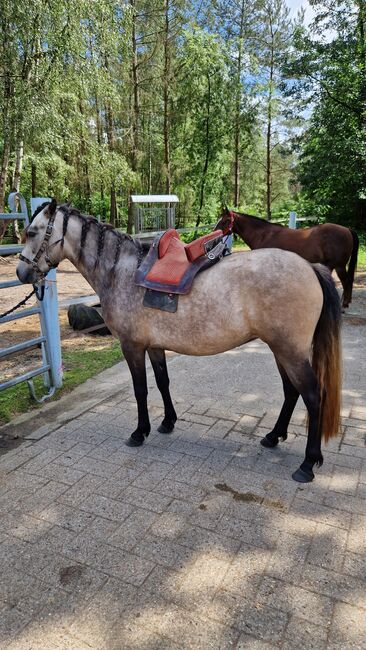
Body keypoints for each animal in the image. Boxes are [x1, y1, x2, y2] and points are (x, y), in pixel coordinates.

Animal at [216, 209, 358, 308]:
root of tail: (347, 230)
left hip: (338, 265)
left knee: (346, 281)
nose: (215, 233)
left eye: (225, 221)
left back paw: (344, 305)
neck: (264, 235)